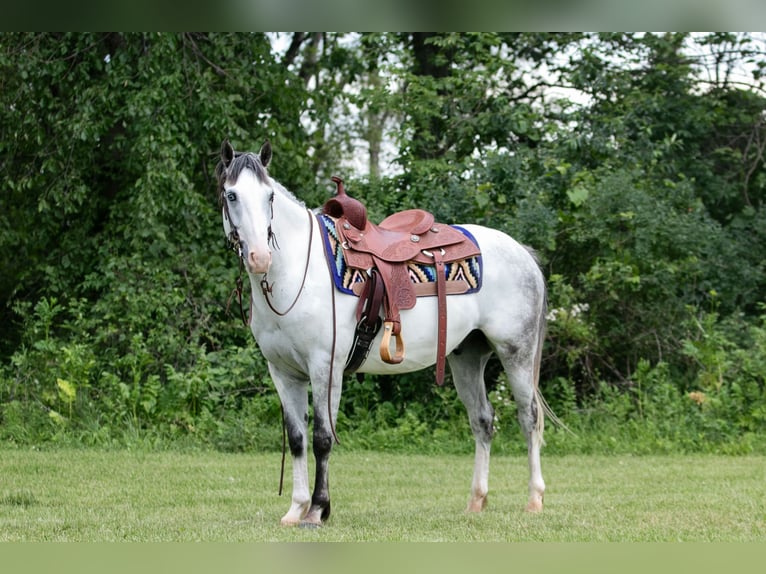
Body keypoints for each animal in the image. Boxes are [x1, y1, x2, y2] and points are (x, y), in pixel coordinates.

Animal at [219, 140, 548, 528]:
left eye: (269, 195)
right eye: (231, 195)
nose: (260, 257)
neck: (298, 271)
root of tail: (521, 252)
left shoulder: (325, 367)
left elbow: (322, 438)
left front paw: (317, 510)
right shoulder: (283, 373)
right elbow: (298, 438)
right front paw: (296, 508)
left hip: (517, 352)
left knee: (529, 418)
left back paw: (534, 499)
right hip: (467, 355)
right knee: (482, 420)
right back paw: (476, 500)